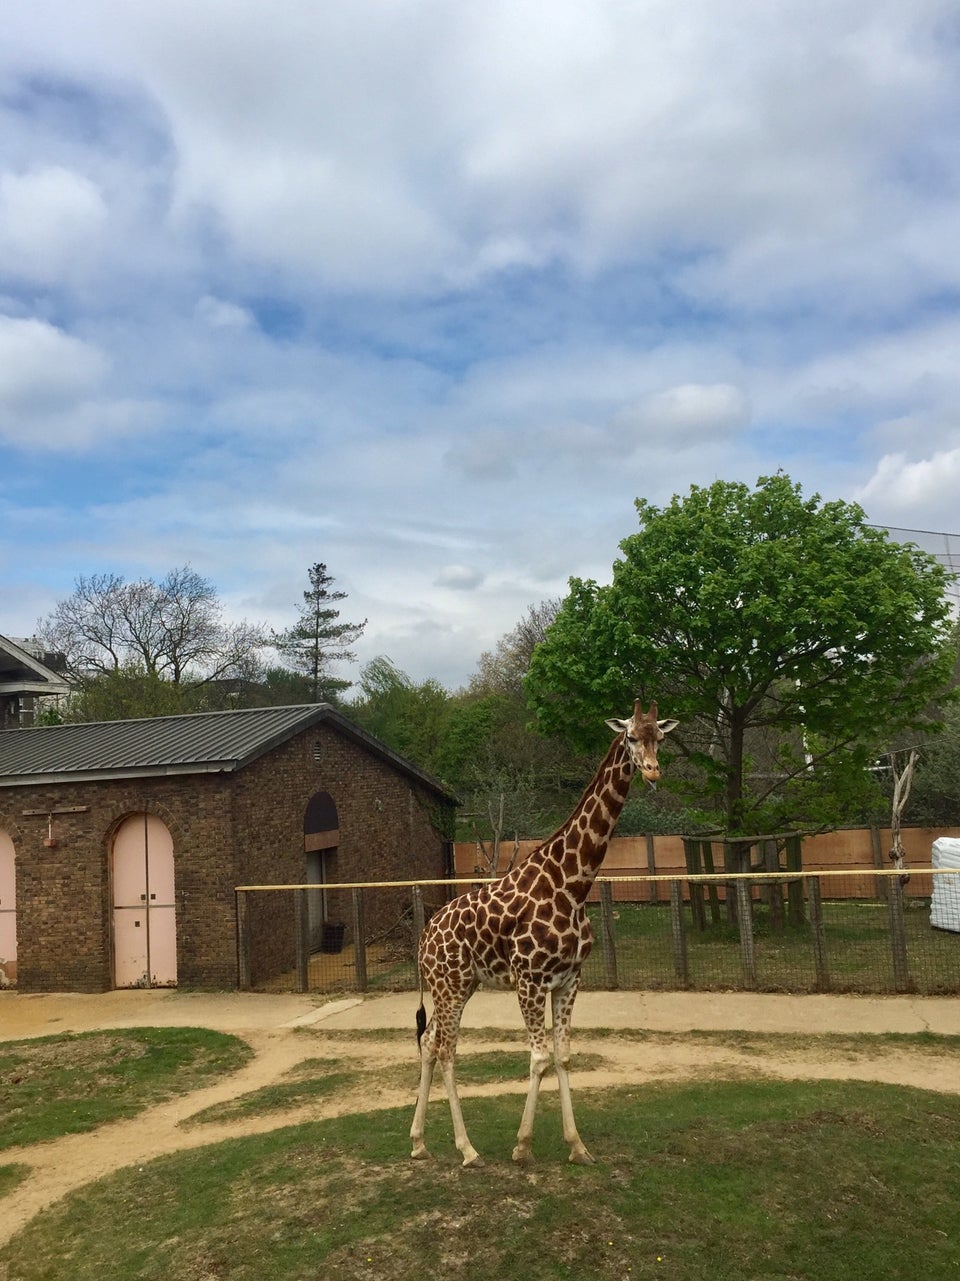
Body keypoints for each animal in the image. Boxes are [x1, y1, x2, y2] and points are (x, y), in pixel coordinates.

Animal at [407, 696, 676, 1168]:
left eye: (659, 736)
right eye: (629, 736)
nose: (652, 771)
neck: (573, 884)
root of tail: (423, 939)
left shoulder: (568, 980)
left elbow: (564, 1056)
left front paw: (578, 1146)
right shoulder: (530, 980)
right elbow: (538, 1058)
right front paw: (523, 1146)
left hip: (458, 986)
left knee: (430, 1041)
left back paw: (420, 1141)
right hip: (450, 986)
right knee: (446, 1050)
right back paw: (468, 1149)